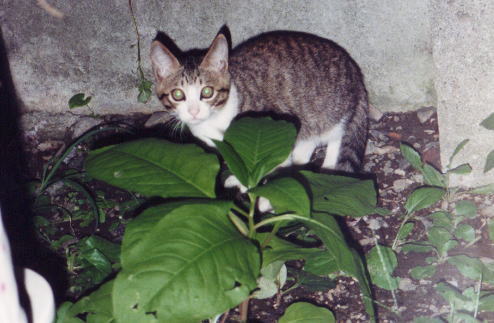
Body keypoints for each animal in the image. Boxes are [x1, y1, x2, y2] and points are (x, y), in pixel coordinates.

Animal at [149, 31, 368, 173]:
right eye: (178, 95)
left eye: (207, 92)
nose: (194, 112)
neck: (215, 120)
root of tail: (354, 68)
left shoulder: (275, 125)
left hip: (332, 110)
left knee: (336, 135)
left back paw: (330, 166)